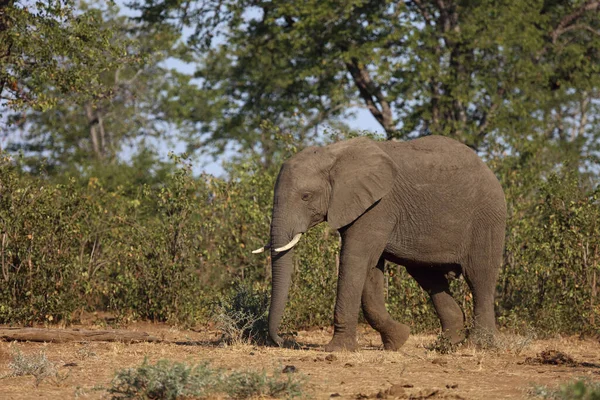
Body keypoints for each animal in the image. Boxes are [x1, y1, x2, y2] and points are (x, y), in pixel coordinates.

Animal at [251, 136, 504, 352]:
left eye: (306, 196)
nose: (284, 340)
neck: (333, 154)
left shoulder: (379, 206)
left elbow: (355, 259)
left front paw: (337, 349)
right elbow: (371, 270)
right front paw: (399, 339)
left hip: (487, 219)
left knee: (479, 276)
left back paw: (478, 345)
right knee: (429, 277)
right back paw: (447, 345)